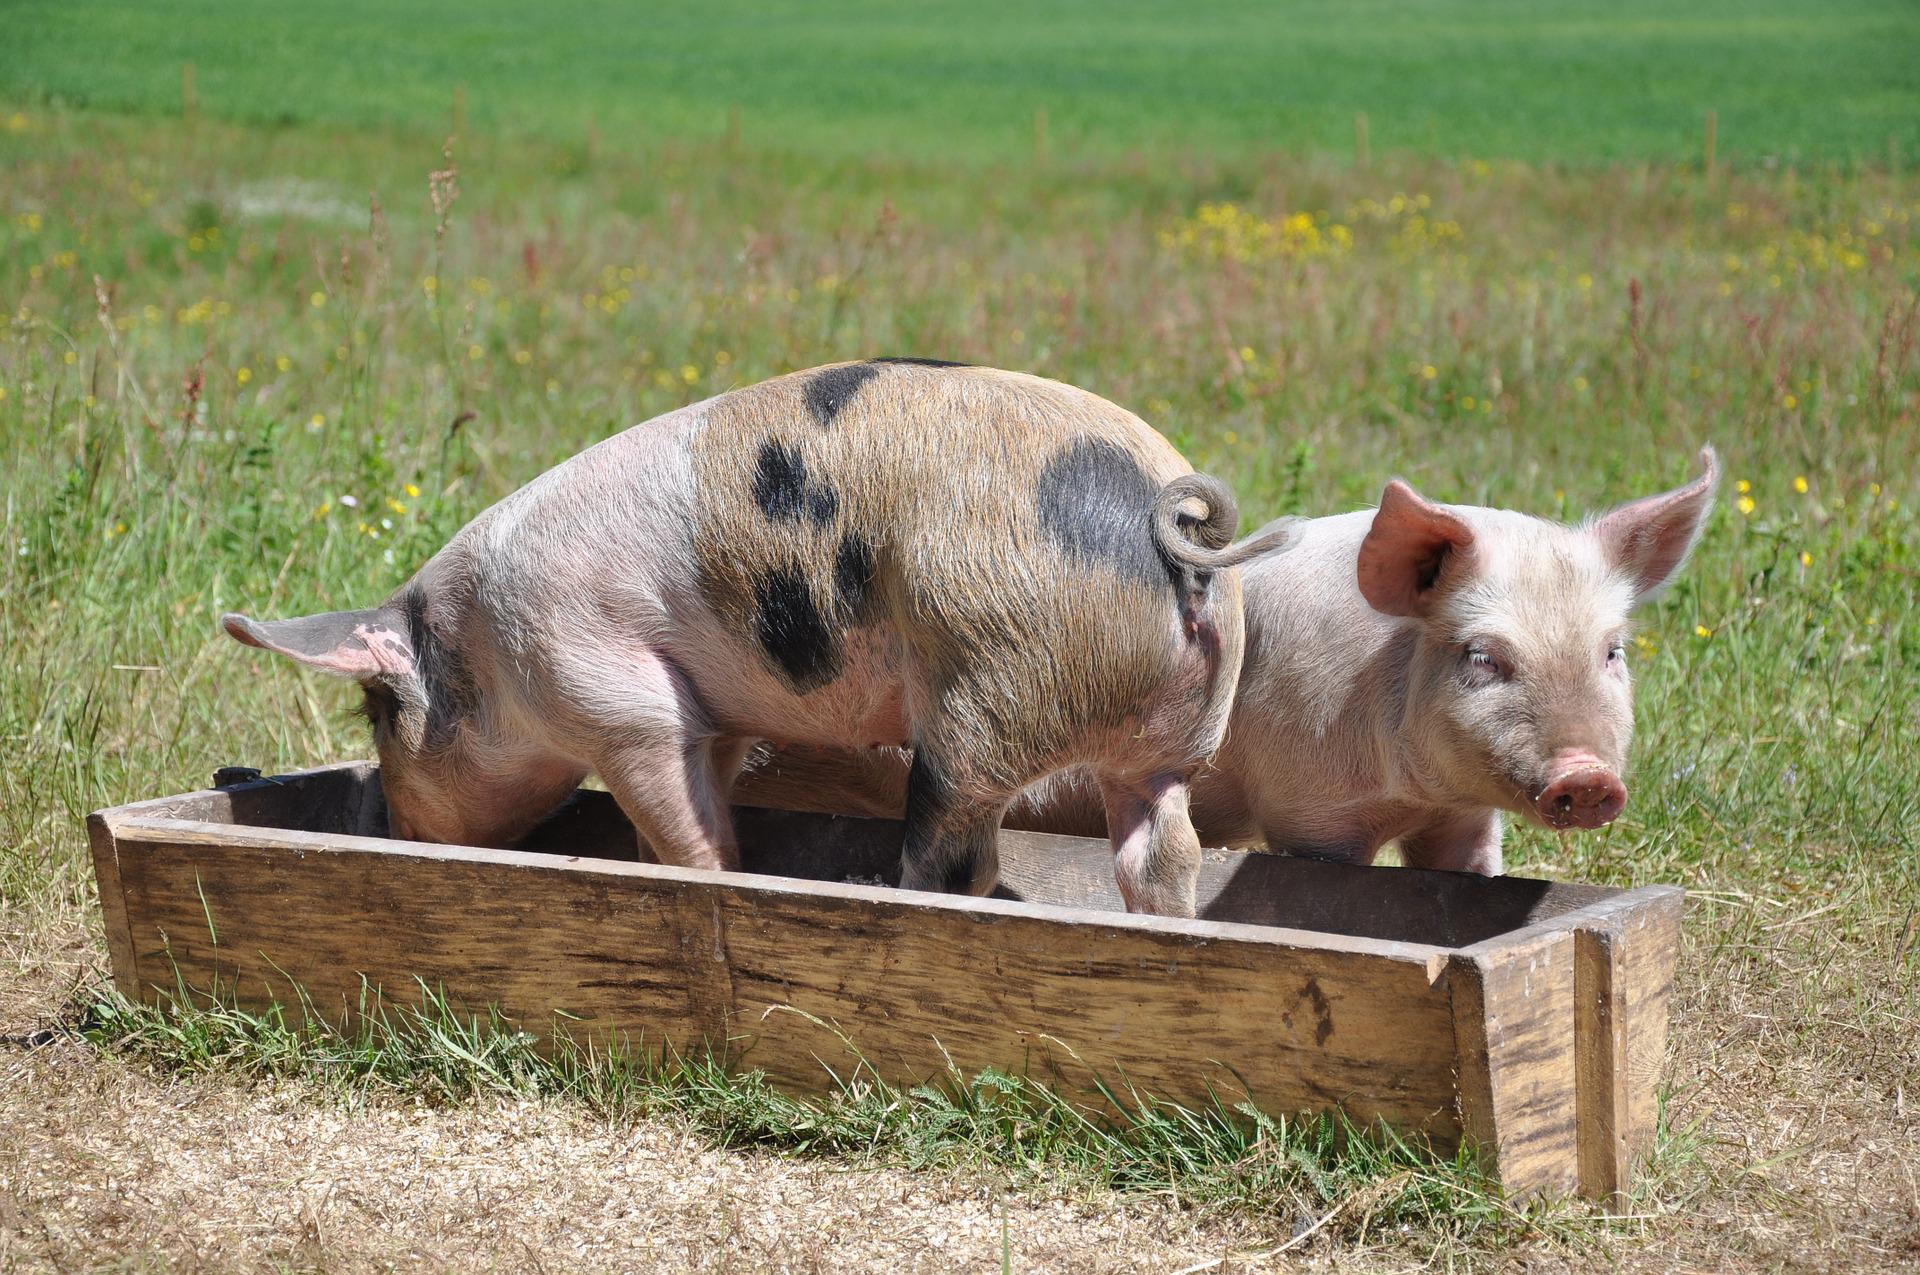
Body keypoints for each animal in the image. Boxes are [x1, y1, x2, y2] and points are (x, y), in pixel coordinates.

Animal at [224, 359, 1297, 917]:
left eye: (378, 711)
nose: (399, 828)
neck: (484, 649)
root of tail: (1173, 522)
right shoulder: (721, 712)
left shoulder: (615, 697)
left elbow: (685, 827)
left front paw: (709, 882)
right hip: (1170, 742)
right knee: (1162, 850)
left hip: (987, 688)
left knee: (958, 852)